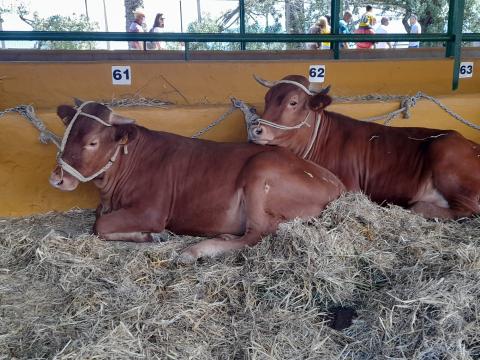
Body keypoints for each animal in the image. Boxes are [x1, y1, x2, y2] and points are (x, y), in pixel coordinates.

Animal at [49, 101, 344, 262]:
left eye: (92, 142)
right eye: (67, 133)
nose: (57, 178)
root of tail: (335, 182)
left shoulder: (152, 210)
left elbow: (99, 225)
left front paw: (153, 234)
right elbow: (99, 220)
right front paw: (150, 236)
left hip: (260, 170)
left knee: (258, 233)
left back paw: (197, 250)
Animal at [249, 74, 480, 218]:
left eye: (293, 102)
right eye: (267, 99)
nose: (256, 130)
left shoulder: (351, 189)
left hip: (445, 153)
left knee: (467, 210)